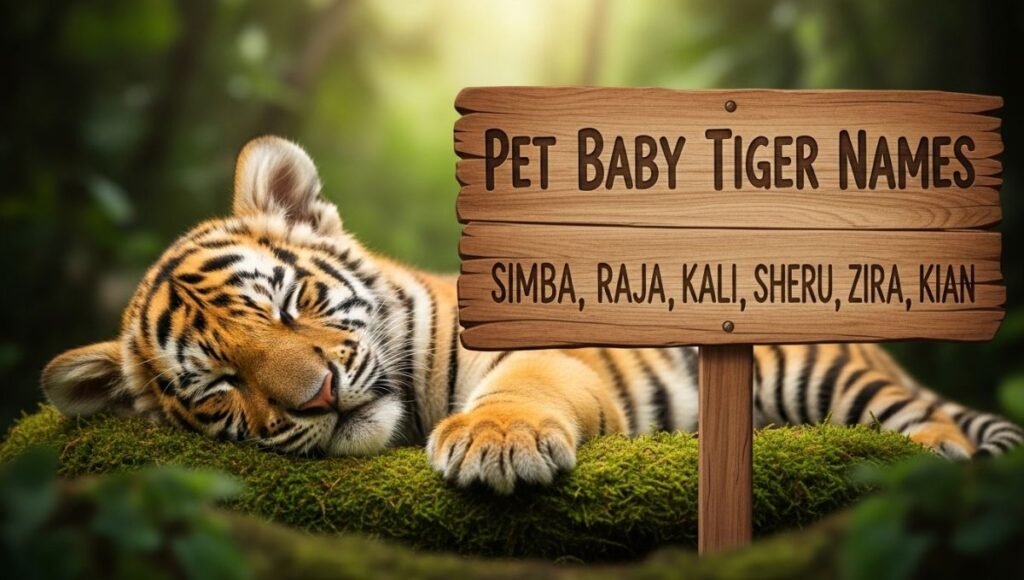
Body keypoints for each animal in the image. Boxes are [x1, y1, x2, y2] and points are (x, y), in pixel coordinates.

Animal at [41, 136, 1023, 494]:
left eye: (289, 306)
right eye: (218, 385)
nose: (317, 398)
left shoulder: (542, 348)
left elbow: (527, 383)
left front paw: (496, 442)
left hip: (824, 372)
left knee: (926, 417)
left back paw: (939, 449)